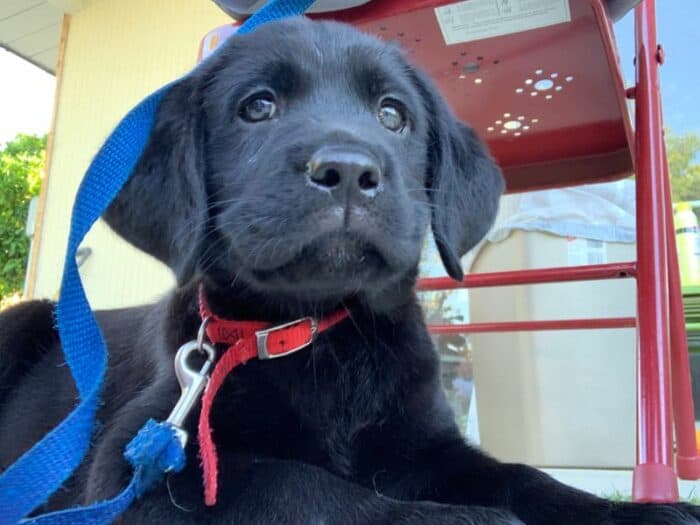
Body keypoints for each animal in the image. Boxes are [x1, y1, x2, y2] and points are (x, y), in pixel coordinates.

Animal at [1, 17, 700, 524]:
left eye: (393, 115)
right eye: (258, 106)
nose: (347, 170)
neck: (318, 336)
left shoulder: (428, 446)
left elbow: (518, 475)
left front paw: (639, 513)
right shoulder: (144, 467)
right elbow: (298, 483)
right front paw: (457, 520)